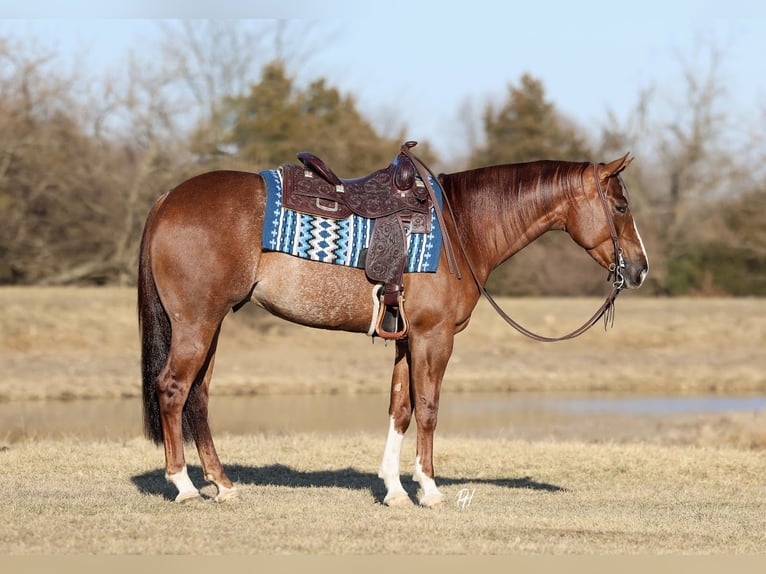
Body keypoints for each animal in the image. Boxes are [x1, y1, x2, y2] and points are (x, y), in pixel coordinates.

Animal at [138, 149, 648, 506]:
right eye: (621, 206)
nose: (640, 269)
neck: (461, 228)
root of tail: (166, 199)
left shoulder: (406, 339)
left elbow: (400, 408)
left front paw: (396, 489)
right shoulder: (432, 337)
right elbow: (428, 409)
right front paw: (430, 488)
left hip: (211, 324)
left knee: (199, 396)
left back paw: (222, 485)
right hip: (197, 323)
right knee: (173, 389)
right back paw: (184, 485)